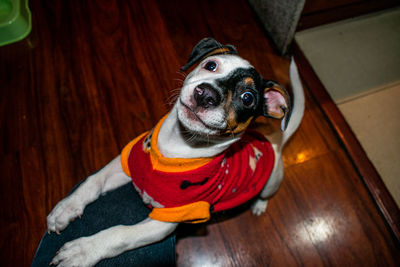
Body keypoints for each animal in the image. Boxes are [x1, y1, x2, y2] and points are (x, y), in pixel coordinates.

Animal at [47, 38, 304, 267]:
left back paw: (259, 205)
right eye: (211, 65)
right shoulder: (125, 164)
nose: (206, 94)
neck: (175, 150)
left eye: (247, 98)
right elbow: (93, 181)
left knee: (265, 195)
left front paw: (83, 250)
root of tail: (274, 142)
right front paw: (66, 208)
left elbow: (119, 234)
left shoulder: (166, 221)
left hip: (271, 182)